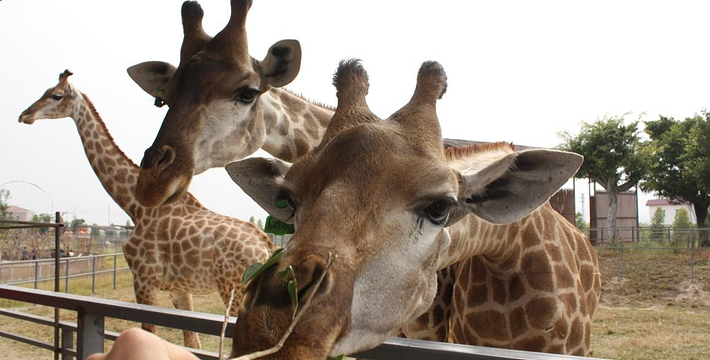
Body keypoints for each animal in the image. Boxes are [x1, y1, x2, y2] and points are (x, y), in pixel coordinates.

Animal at [18, 69, 276, 348]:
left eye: (56, 96)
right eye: (45, 91)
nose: (25, 115)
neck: (134, 207)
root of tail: (268, 248)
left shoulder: (144, 281)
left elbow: (150, 333)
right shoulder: (179, 288)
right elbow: (192, 343)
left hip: (234, 289)